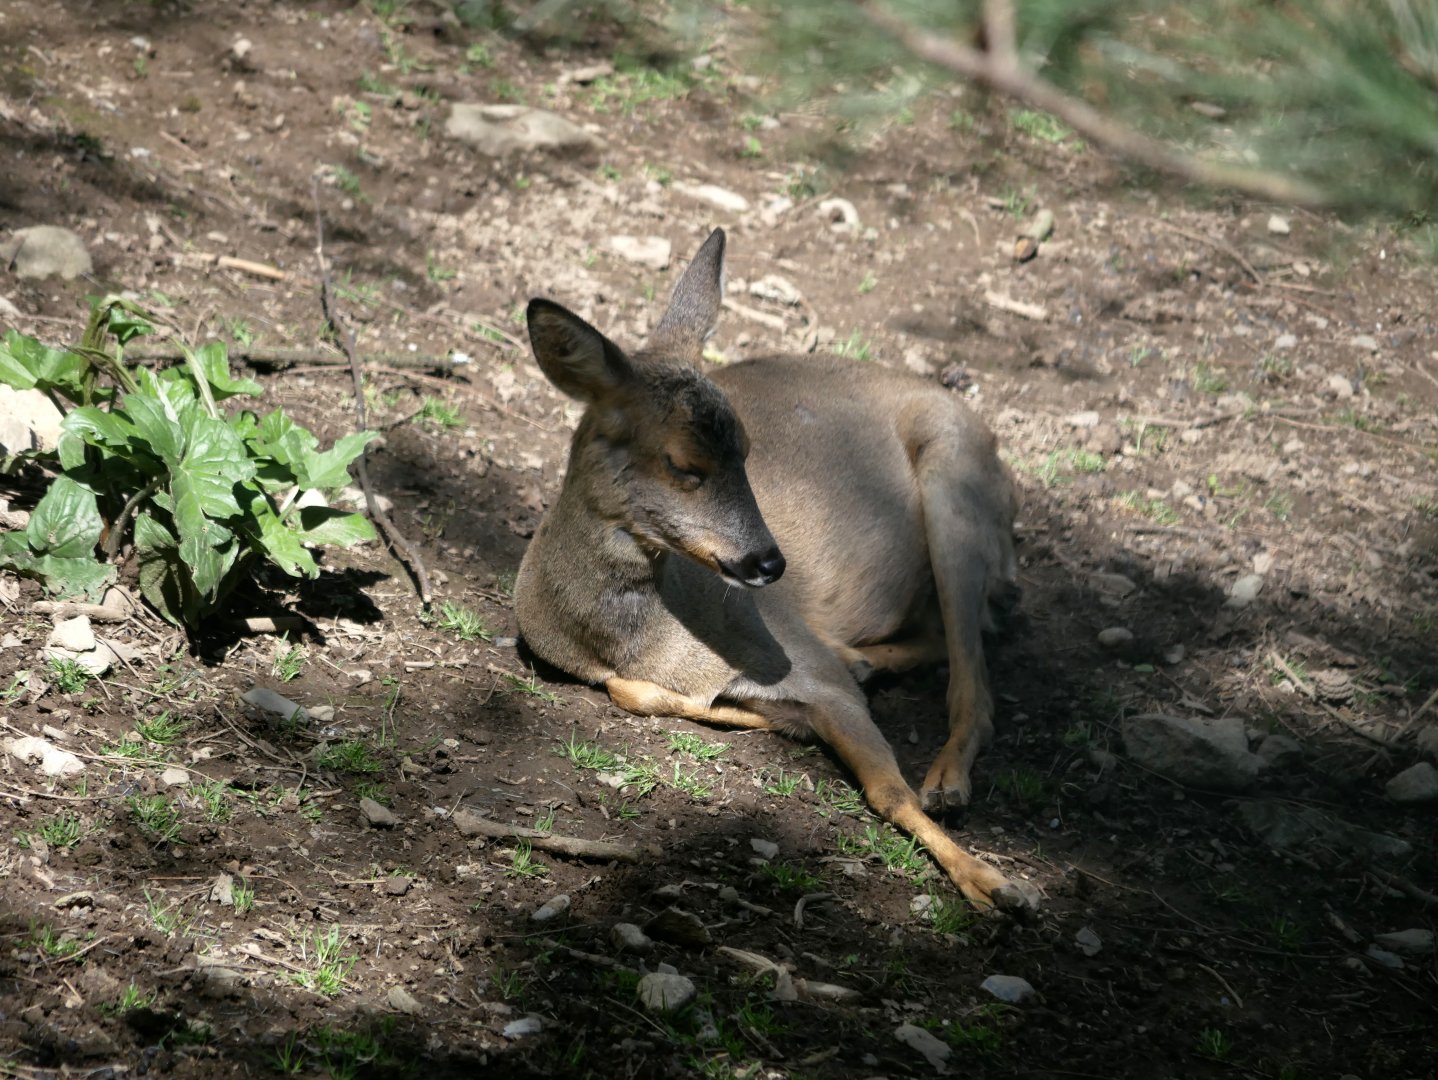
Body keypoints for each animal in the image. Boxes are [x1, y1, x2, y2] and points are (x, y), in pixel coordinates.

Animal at [515, 228, 1035, 914]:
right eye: (685, 464)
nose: (770, 561)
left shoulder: (804, 661)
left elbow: (888, 790)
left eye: (746, 451)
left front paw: (994, 882)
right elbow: (642, 695)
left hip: (956, 485)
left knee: (974, 674)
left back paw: (948, 788)